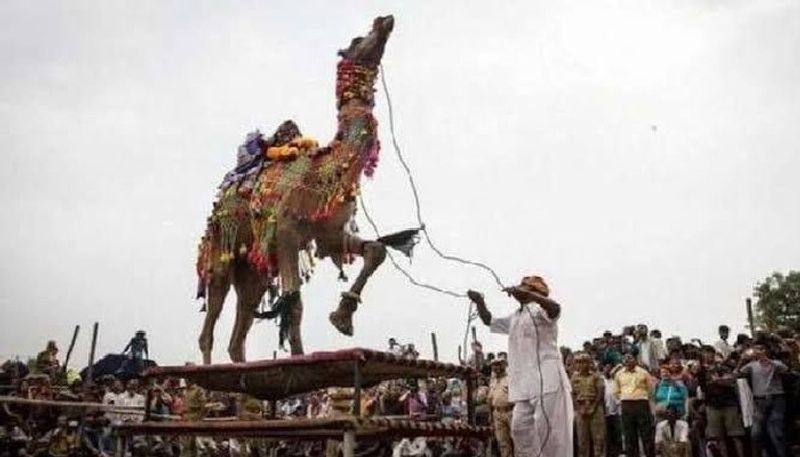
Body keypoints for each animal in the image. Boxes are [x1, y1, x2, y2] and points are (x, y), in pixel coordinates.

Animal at [197, 16, 396, 362]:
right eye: (357, 40)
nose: (384, 20)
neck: (328, 168)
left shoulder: (327, 232)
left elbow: (376, 250)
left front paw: (342, 319)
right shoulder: (287, 231)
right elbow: (294, 302)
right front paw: (301, 357)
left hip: (254, 271)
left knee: (239, 331)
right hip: (220, 249)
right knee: (210, 323)